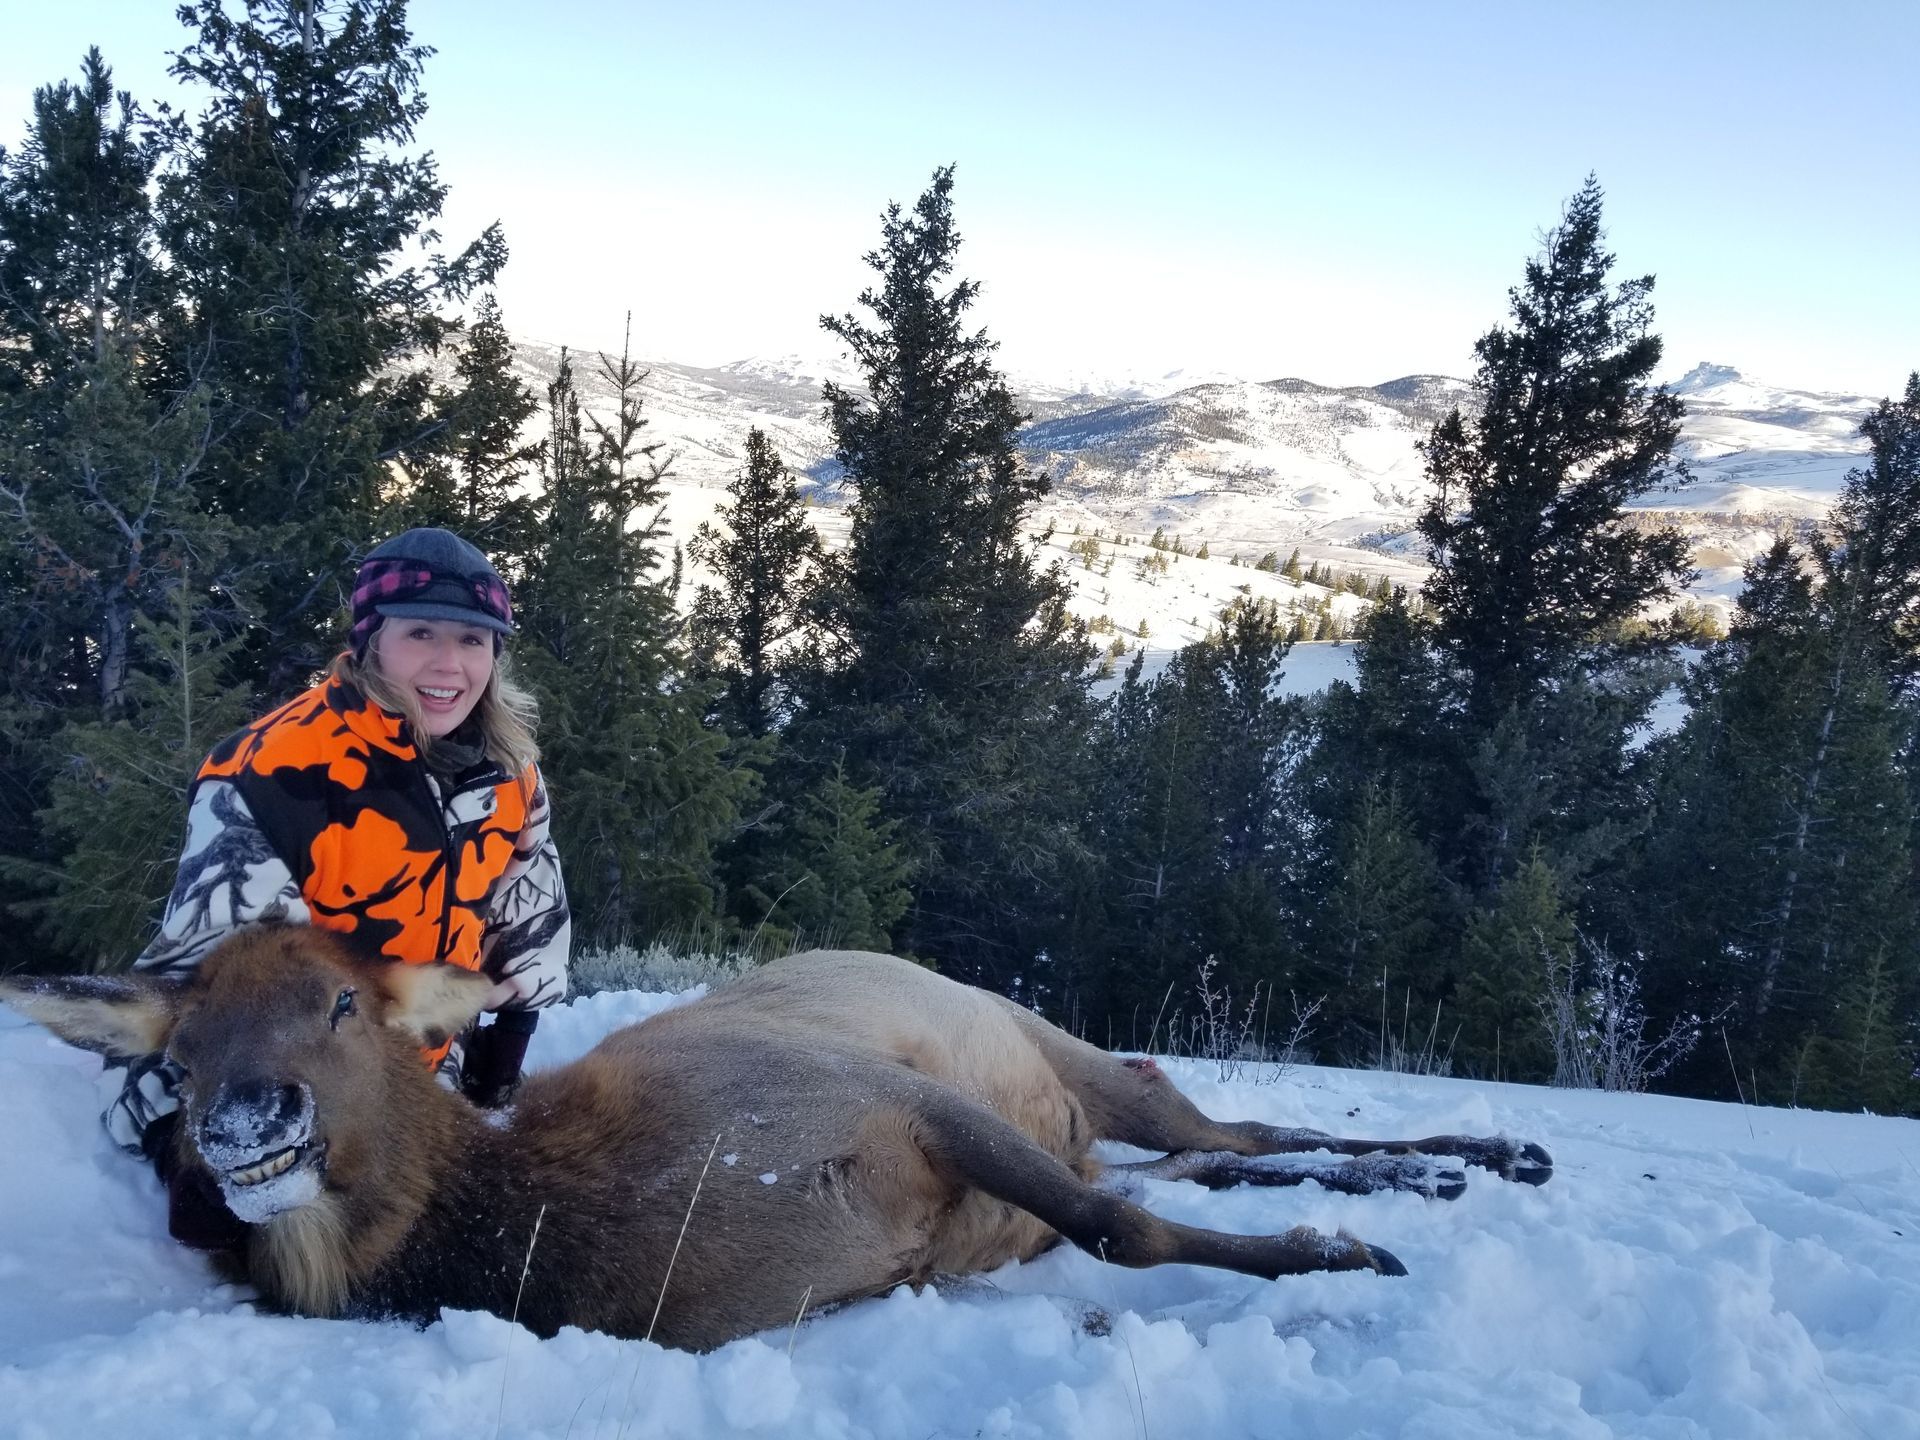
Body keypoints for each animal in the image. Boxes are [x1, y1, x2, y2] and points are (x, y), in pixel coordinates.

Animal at [0, 925, 1551, 1351]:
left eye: (340, 998)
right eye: (179, 1057)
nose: (244, 1122)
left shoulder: (886, 1097)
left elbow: (1120, 1233)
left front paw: (1337, 1260)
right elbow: (1123, 1219)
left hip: (1049, 1047)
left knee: (1222, 1120)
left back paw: (1476, 1160)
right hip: (1071, 1108)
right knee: (1213, 1146)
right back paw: (1448, 1168)